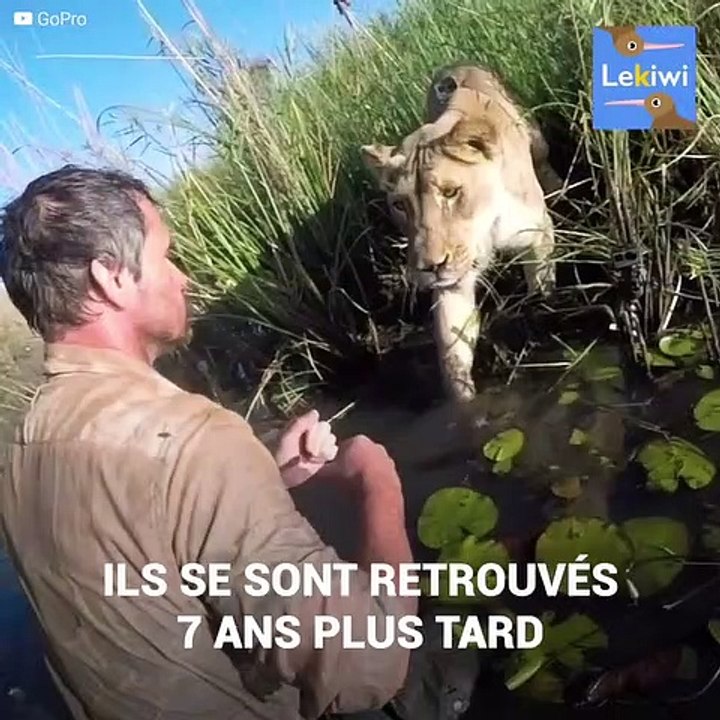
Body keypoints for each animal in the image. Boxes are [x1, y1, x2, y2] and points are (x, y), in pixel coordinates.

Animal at [360, 63, 561, 402]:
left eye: (451, 192)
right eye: (400, 205)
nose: (430, 266)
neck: (486, 226)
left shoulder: (536, 234)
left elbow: (541, 287)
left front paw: (542, 314)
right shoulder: (453, 280)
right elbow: (452, 351)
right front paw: (464, 405)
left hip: (537, 141)